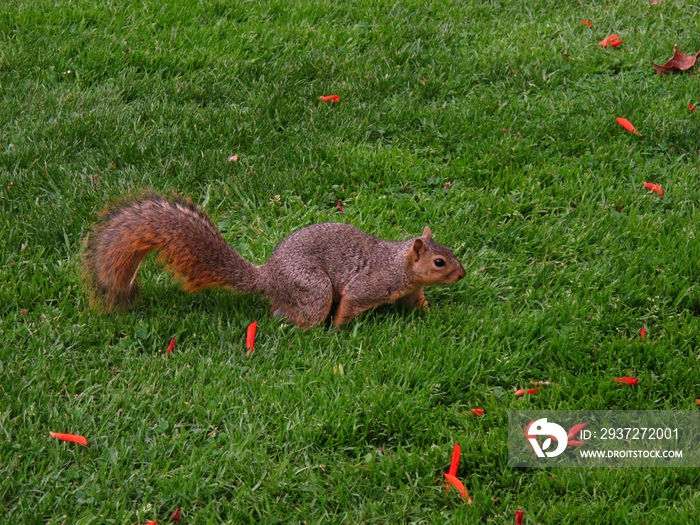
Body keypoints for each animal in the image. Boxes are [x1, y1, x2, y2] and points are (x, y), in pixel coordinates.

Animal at [85, 194, 468, 326]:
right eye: (439, 262)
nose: (462, 275)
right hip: (312, 288)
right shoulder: (370, 285)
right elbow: (349, 304)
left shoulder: (411, 289)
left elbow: (418, 303)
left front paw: (434, 315)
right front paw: (339, 330)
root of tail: (267, 277)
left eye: (450, 253)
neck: (400, 264)